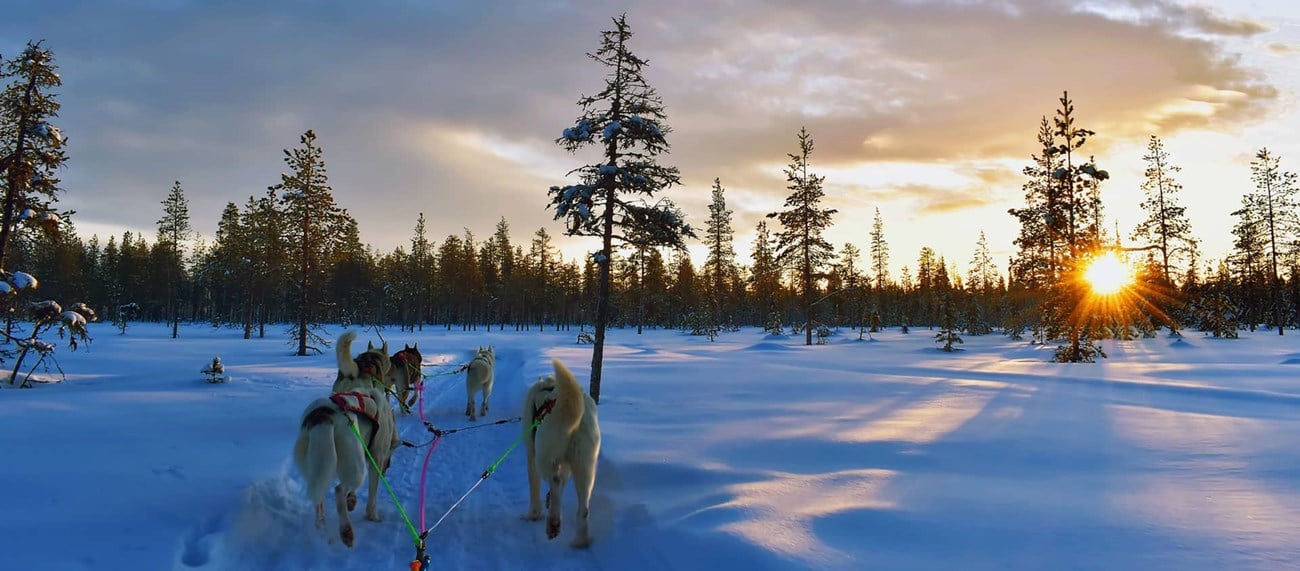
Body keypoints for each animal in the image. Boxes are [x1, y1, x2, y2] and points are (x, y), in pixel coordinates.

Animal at [520, 361, 600, 548]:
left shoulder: (531, 453)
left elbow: (535, 486)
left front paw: (533, 514)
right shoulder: (566, 463)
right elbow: (563, 478)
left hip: (543, 456)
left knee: (555, 482)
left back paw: (553, 522)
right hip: (585, 464)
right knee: (583, 508)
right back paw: (580, 541)